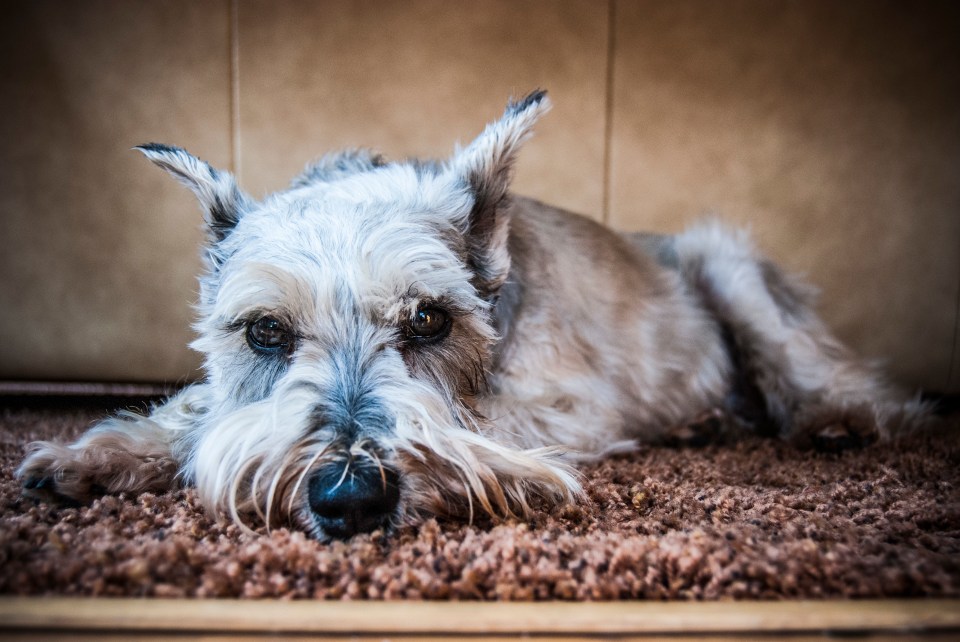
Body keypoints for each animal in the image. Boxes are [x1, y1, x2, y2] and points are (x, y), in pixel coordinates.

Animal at [16, 90, 928, 536]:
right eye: (266, 331)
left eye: (429, 320)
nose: (349, 495)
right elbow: (201, 410)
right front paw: (94, 455)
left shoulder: (564, 404)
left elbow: (487, 426)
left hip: (726, 264)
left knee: (817, 367)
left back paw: (835, 418)